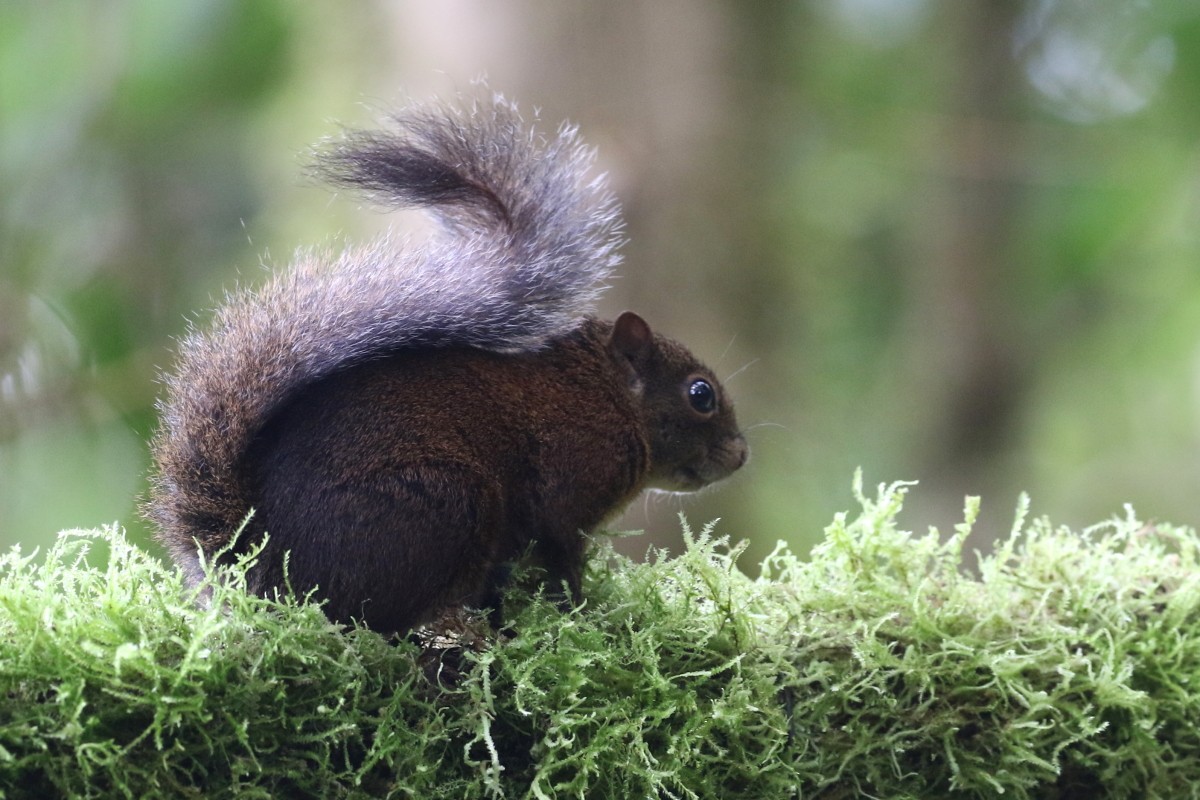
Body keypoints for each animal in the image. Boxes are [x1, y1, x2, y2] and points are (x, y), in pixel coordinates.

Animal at [148, 95, 748, 634]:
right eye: (700, 394)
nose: (741, 455)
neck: (610, 397)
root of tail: (263, 573)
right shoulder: (569, 486)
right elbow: (563, 563)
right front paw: (587, 615)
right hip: (445, 504)